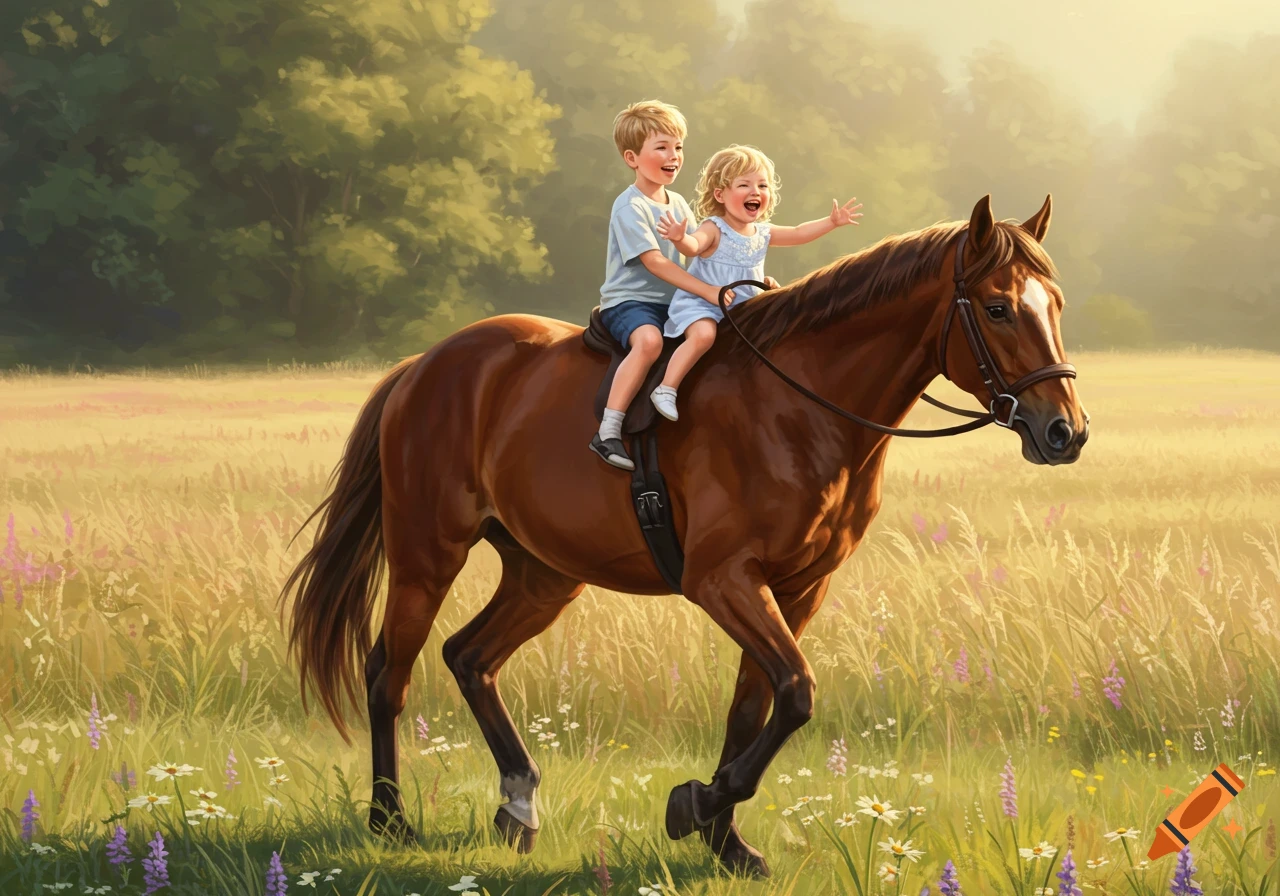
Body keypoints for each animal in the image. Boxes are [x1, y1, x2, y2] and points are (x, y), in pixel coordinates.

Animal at [280, 194, 1088, 878]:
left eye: (1054, 304)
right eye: (998, 308)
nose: (1066, 432)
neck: (797, 405)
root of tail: (424, 365)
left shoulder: (797, 587)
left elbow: (757, 706)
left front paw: (725, 840)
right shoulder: (722, 579)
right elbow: (797, 693)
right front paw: (694, 806)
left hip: (544, 574)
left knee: (468, 656)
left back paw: (518, 804)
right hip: (428, 555)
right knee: (389, 672)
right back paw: (390, 821)